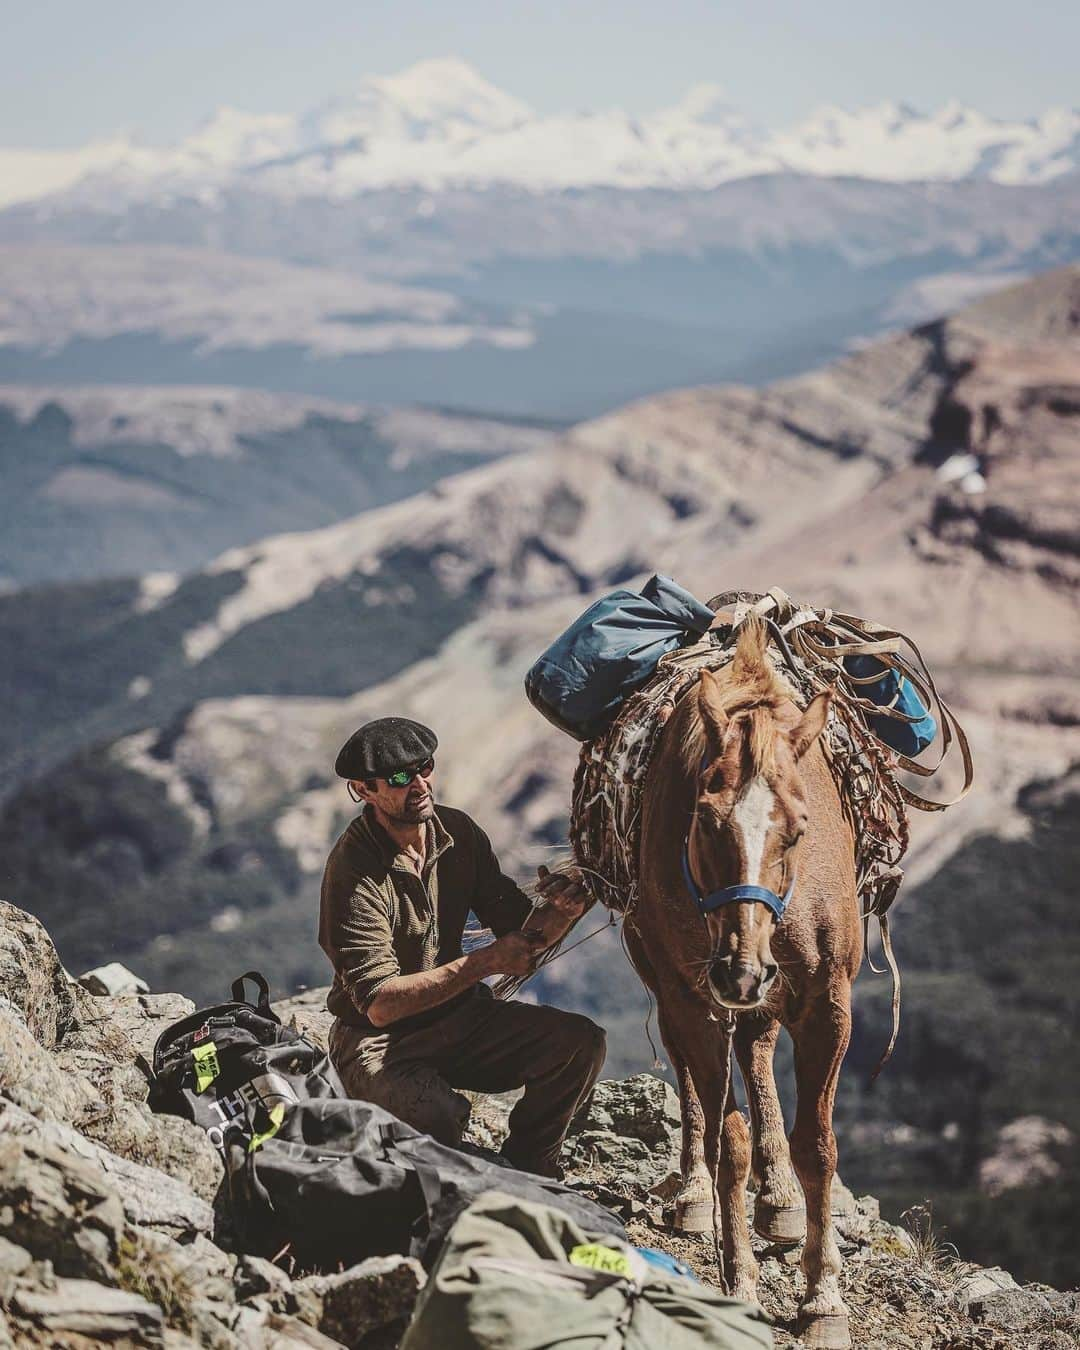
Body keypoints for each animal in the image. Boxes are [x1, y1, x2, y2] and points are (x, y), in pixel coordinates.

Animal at [623, 618, 858, 1350]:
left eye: (801, 827)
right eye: (704, 817)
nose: (740, 969)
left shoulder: (828, 1003)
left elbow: (819, 1146)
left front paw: (823, 1296)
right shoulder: (693, 997)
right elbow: (730, 1140)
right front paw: (743, 1285)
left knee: (756, 1052)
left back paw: (779, 1198)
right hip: (667, 981)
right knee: (691, 1076)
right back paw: (695, 1195)